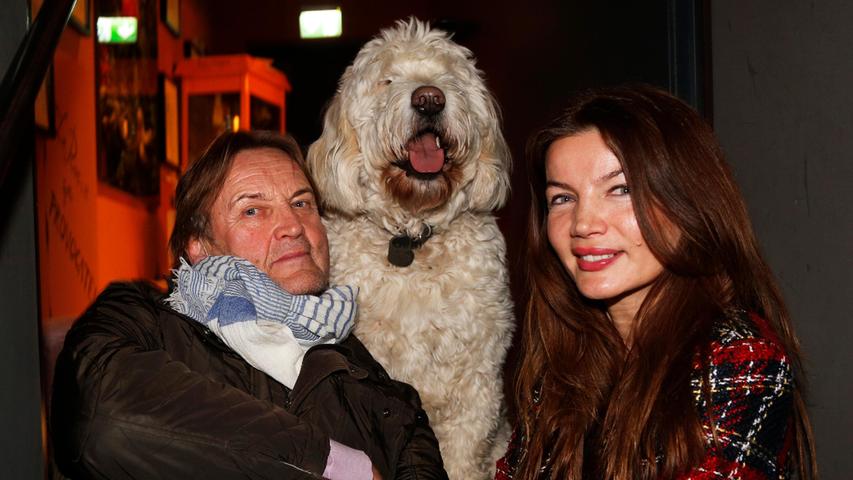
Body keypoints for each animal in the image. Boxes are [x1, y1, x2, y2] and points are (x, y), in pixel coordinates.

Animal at [312, 18, 516, 480]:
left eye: (449, 77)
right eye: (387, 79)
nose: (429, 99)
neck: (411, 240)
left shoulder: (477, 389)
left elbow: (462, 457)